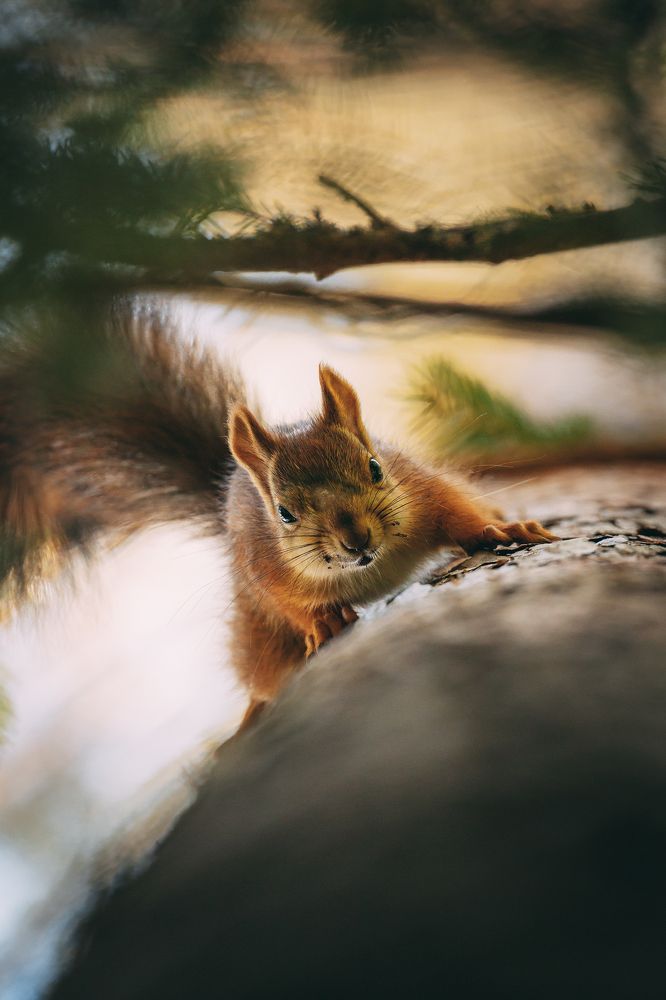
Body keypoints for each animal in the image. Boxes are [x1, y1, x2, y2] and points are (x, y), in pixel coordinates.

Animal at [0, 309, 556, 725]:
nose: (357, 540)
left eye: (375, 467)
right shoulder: (261, 564)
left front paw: (499, 529)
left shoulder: (422, 490)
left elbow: (458, 512)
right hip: (256, 633)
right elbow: (285, 599)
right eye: (285, 514)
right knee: (262, 680)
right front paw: (321, 621)